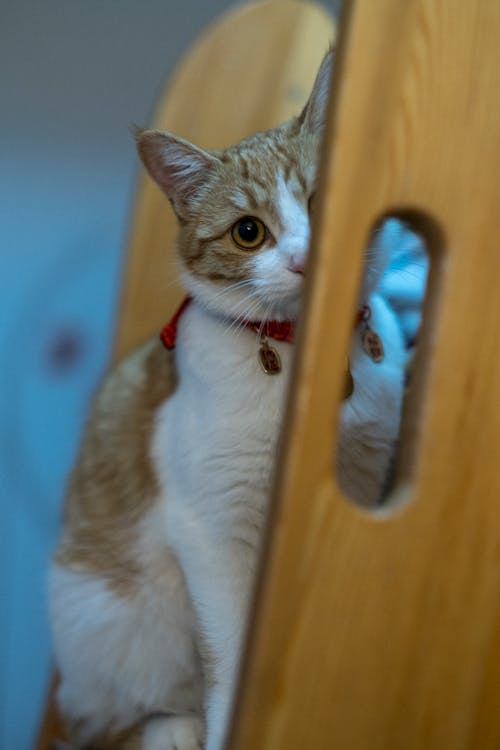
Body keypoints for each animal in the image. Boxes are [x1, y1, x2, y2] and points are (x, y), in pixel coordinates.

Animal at [47, 53, 406, 750]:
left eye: (323, 201)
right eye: (248, 233)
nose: (305, 260)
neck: (302, 361)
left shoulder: (358, 482)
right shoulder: (213, 530)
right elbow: (231, 655)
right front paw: (227, 726)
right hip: (110, 624)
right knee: (120, 719)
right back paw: (174, 728)